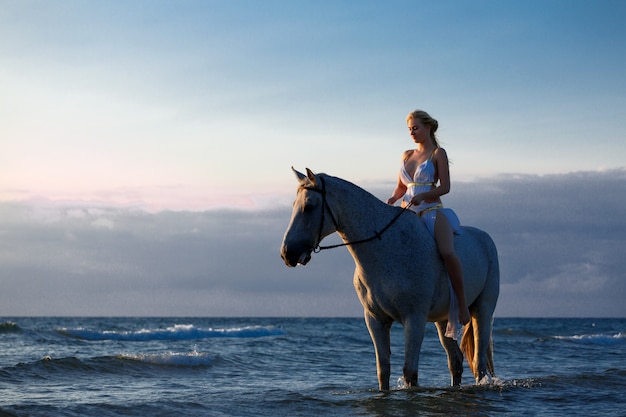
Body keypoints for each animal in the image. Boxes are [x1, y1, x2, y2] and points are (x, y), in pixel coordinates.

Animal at [278, 168, 498, 390]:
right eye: (294, 205)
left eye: (309, 206)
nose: (287, 254)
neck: (386, 248)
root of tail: (485, 238)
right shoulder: (375, 320)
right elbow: (382, 371)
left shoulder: (415, 319)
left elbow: (410, 372)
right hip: (444, 319)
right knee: (455, 361)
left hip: (482, 310)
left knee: (479, 363)